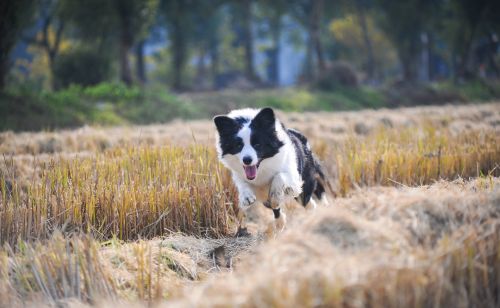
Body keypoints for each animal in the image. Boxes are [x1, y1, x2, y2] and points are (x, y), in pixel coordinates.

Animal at [214, 107, 328, 235]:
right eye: (238, 145)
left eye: (257, 144)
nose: (247, 160)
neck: (262, 169)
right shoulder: (240, 175)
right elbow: (242, 184)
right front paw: (246, 197)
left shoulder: (293, 177)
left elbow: (279, 177)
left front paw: (275, 195)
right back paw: (280, 223)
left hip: (304, 186)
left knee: (309, 200)